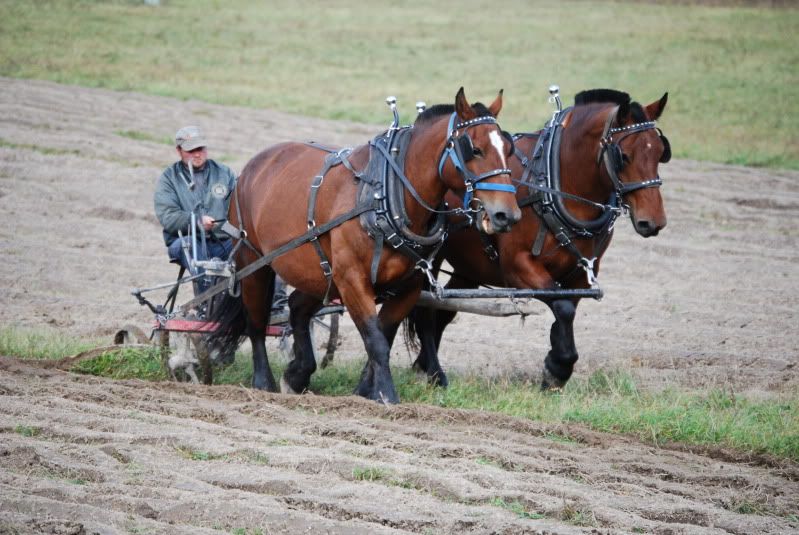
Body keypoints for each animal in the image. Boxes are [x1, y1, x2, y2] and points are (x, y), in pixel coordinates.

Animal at [209, 88, 522, 403]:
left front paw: (364, 392)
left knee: (297, 307)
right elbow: (376, 341)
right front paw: (387, 396)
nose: (507, 215)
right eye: (475, 150)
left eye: (508, 150)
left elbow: (383, 336)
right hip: (253, 262)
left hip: (320, 273)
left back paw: (298, 374)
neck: (386, 195)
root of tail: (255, 164)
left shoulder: (407, 287)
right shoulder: (352, 280)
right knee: (256, 321)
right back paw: (264, 381)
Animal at [408, 89, 670, 389]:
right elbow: (562, 307)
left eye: (660, 152)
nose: (653, 221)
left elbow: (567, 309)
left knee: (443, 310)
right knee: (425, 310)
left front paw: (557, 362)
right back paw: (434, 371)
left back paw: (423, 365)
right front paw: (557, 367)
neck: (553, 186)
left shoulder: (580, 276)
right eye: (623, 156)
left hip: (468, 267)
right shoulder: (518, 266)